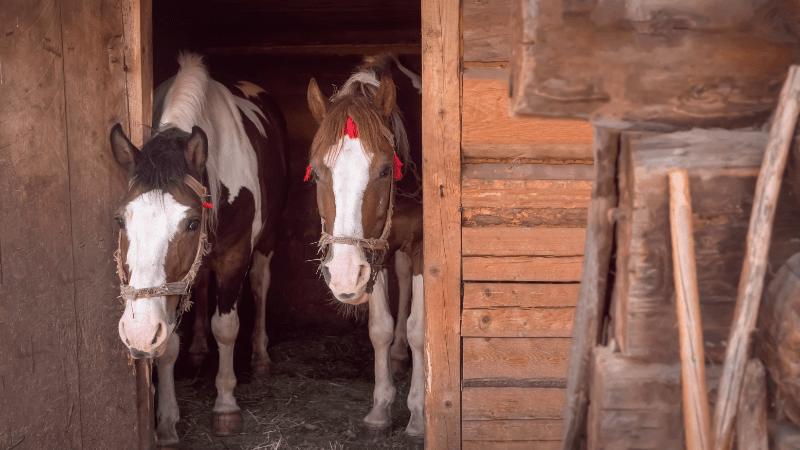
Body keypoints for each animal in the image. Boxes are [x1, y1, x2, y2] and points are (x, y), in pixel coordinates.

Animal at [109, 52, 288, 442]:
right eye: (120, 221)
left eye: (191, 223)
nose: (137, 331)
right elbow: (168, 344)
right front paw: (166, 421)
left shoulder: (235, 256)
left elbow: (227, 327)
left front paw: (225, 406)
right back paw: (198, 349)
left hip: (267, 240)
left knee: (261, 285)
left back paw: (260, 356)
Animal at [306, 54, 424, 444]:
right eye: (316, 173)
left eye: (386, 170)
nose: (343, 274)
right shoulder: (376, 253)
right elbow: (380, 329)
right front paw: (380, 409)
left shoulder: (423, 247)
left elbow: (420, 330)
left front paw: (419, 415)